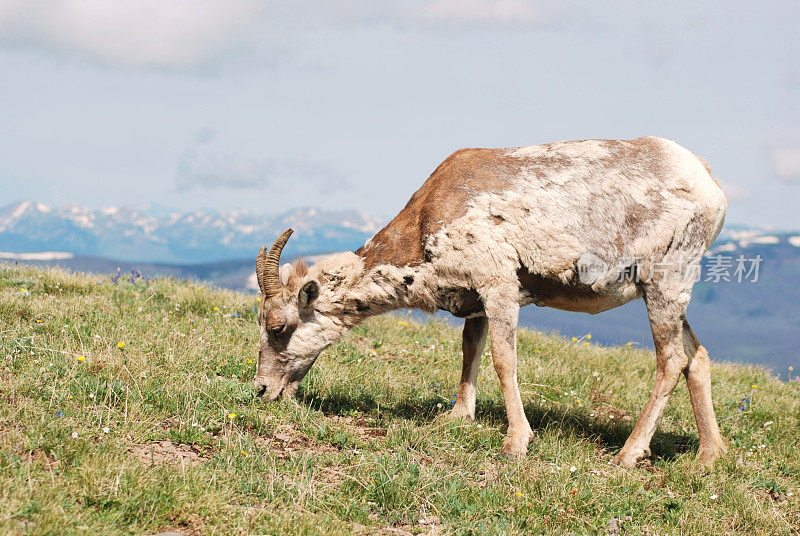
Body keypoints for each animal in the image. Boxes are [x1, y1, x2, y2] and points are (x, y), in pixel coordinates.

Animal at [253, 136, 728, 466]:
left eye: (279, 327)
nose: (261, 389)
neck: (428, 223)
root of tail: (711, 186)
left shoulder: (499, 285)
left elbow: (503, 358)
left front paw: (516, 443)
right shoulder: (475, 300)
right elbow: (471, 349)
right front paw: (458, 416)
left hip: (665, 283)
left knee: (672, 360)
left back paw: (628, 454)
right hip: (667, 294)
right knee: (697, 356)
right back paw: (708, 455)